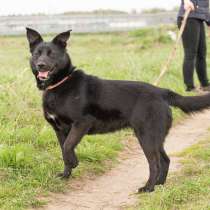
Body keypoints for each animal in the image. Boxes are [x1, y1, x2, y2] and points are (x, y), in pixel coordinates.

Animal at [26, 28, 210, 193]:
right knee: (165, 160)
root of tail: (161, 92)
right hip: (155, 137)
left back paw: (148, 187)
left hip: (147, 137)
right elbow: (64, 150)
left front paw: (74, 162)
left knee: (155, 163)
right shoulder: (59, 130)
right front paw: (66, 175)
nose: (41, 65)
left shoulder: (81, 123)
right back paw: (159, 184)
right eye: (37, 54)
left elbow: (67, 147)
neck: (60, 84)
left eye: (51, 54)